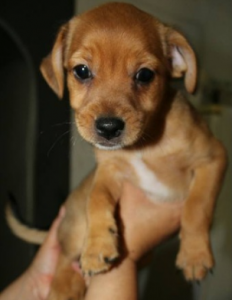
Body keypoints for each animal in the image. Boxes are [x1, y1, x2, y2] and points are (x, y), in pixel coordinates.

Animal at [6, 2, 227, 300]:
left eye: (145, 75)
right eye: (81, 71)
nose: (109, 127)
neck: (143, 147)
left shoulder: (212, 158)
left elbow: (197, 206)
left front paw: (195, 255)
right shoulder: (108, 172)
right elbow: (97, 199)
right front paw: (97, 246)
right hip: (74, 227)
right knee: (64, 257)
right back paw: (66, 285)